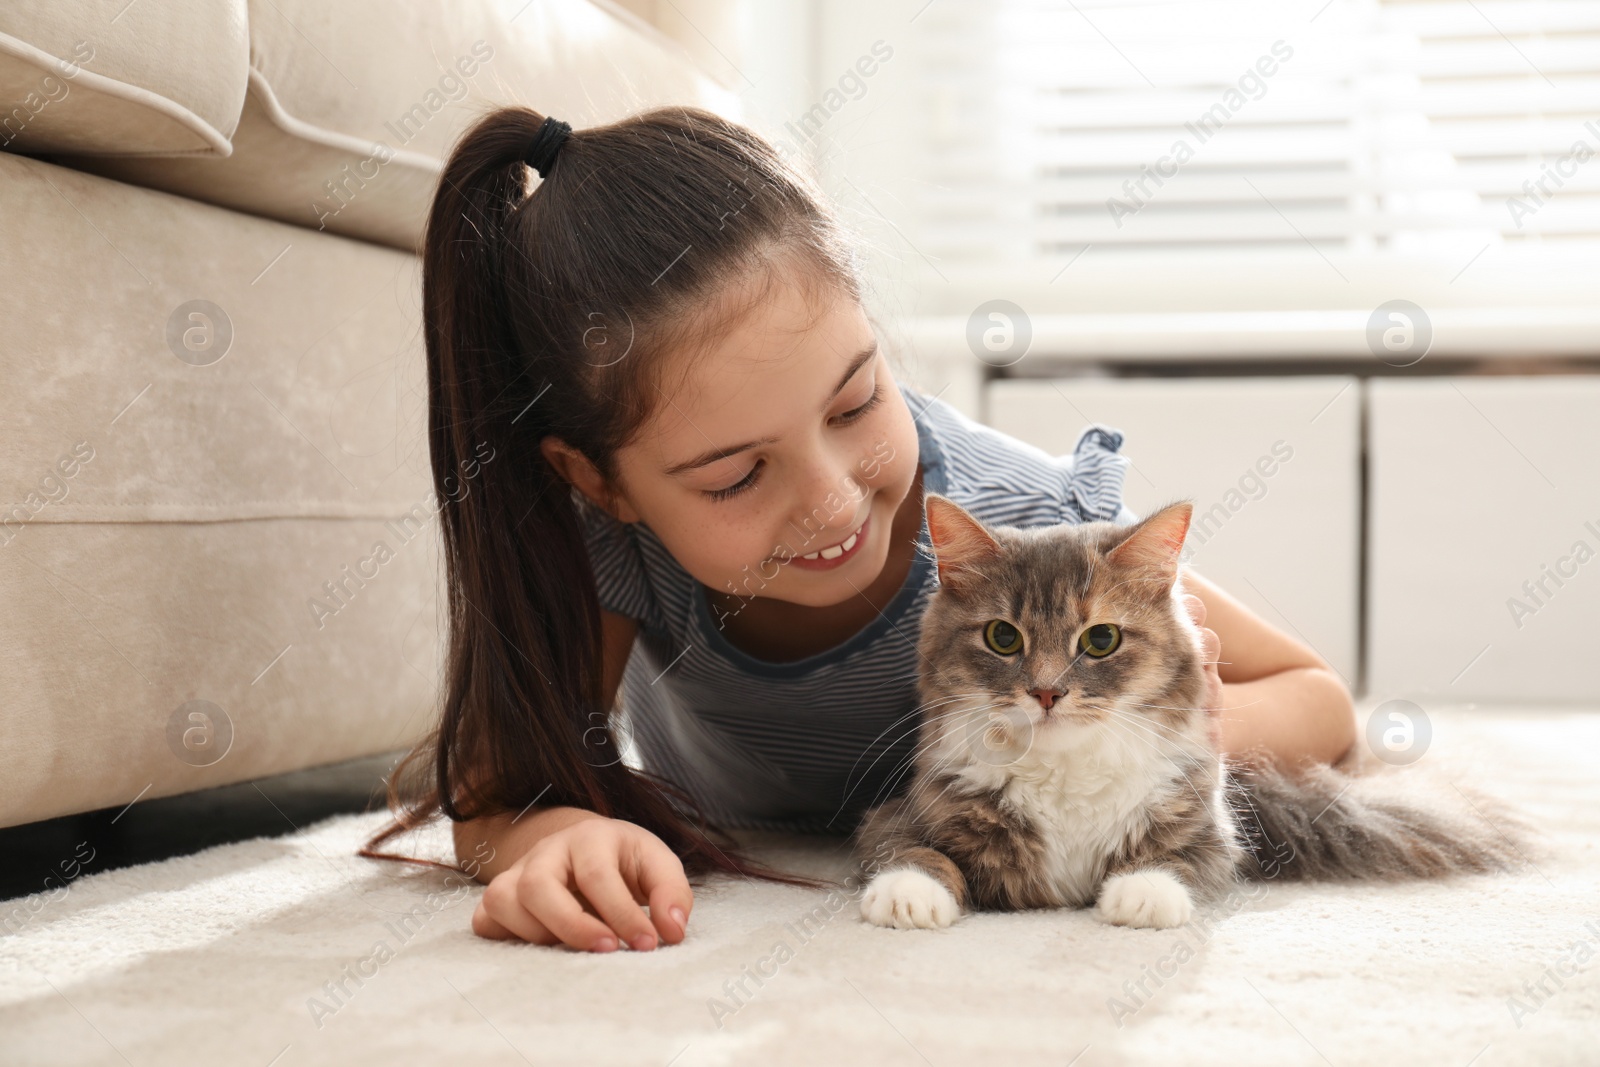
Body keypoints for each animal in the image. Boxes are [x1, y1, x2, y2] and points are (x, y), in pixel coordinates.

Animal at [857, 495, 1529, 927]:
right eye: (1003, 637)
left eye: (1100, 640)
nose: (1047, 693)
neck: (1063, 778)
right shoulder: (902, 813)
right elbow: (916, 855)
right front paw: (907, 899)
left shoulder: (1208, 832)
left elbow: (1170, 861)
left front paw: (1141, 898)